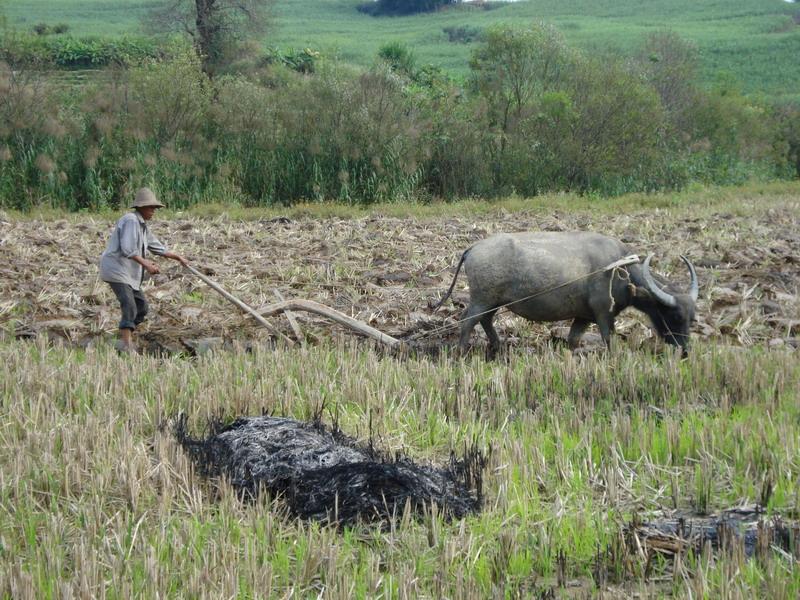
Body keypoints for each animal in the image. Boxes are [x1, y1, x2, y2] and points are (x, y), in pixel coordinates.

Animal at [434, 232, 696, 354]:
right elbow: (608, 339)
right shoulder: (603, 313)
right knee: (468, 321)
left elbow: (573, 339)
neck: (620, 268)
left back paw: (497, 346)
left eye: (692, 319)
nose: (685, 350)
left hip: (493, 302)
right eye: (675, 316)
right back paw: (461, 351)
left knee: (485, 320)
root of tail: (473, 248)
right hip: (482, 299)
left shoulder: (584, 316)